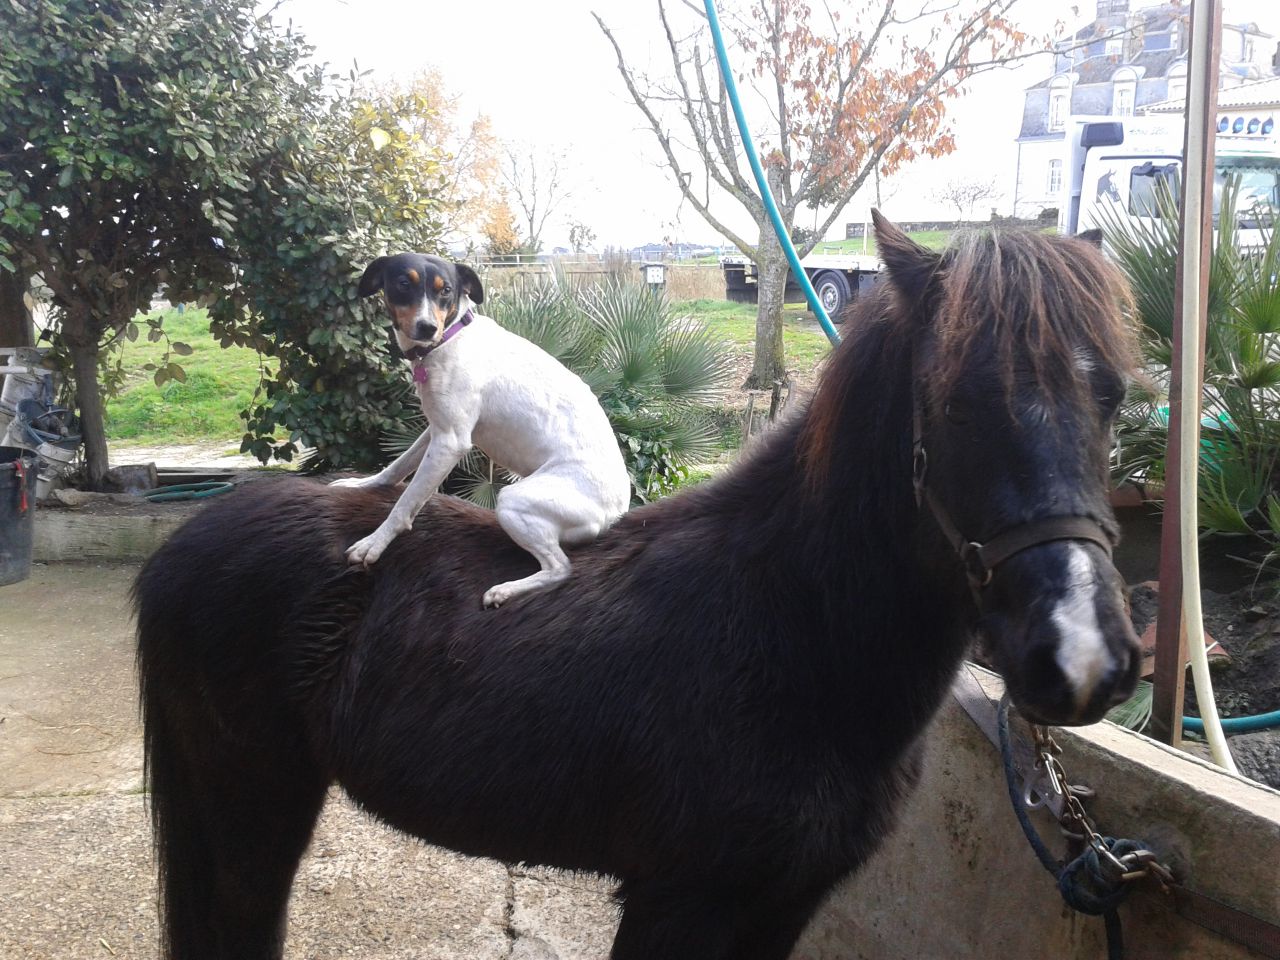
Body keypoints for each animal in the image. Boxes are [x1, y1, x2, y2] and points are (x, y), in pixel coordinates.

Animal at [331, 253, 632, 609]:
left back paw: (505, 590)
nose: (427, 327)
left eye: (445, 290)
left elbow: (406, 502)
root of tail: (618, 513)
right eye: (403, 283)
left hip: (513, 499)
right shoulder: (436, 429)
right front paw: (361, 484)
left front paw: (374, 543)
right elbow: (397, 467)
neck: (449, 338)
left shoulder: (451, 442)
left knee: (561, 568)